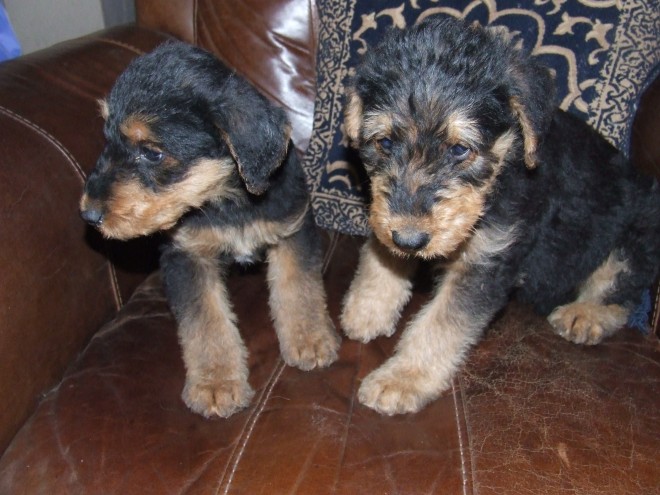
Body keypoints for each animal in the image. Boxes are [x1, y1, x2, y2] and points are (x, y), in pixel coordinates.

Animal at [80, 42, 340, 420]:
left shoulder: (292, 231)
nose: (88, 213)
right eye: (106, 137)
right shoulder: (187, 256)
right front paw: (217, 384)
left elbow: (299, 289)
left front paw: (311, 339)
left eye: (152, 152)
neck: (227, 201)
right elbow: (206, 322)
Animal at [340, 17, 660, 416]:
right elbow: (380, 256)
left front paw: (401, 379)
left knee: (622, 291)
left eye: (460, 150)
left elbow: (441, 324)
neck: (506, 167)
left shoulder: (487, 261)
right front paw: (367, 309)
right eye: (383, 142)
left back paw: (584, 315)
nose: (411, 239)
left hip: (635, 235)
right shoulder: (388, 215)